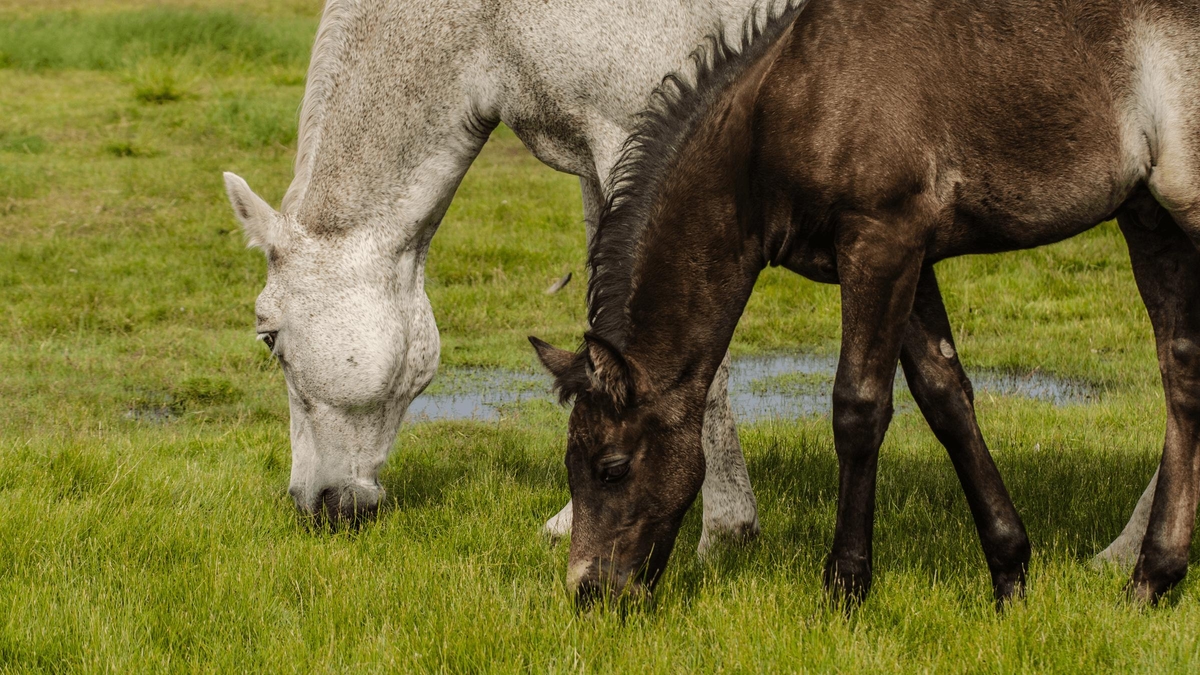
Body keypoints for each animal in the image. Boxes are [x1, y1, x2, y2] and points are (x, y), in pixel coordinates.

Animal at [223, 0, 1152, 562]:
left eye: (269, 338)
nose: (315, 503)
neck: (496, 19)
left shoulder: (641, 125)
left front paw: (722, 529)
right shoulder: (608, 157)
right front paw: (578, 514)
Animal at [530, 0, 1200, 605]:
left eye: (612, 466)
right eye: (570, 466)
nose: (588, 593)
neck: (783, 107)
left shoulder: (881, 244)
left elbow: (858, 407)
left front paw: (845, 586)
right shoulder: (911, 260)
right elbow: (946, 398)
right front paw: (1010, 573)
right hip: (1150, 219)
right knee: (1182, 372)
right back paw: (1150, 579)